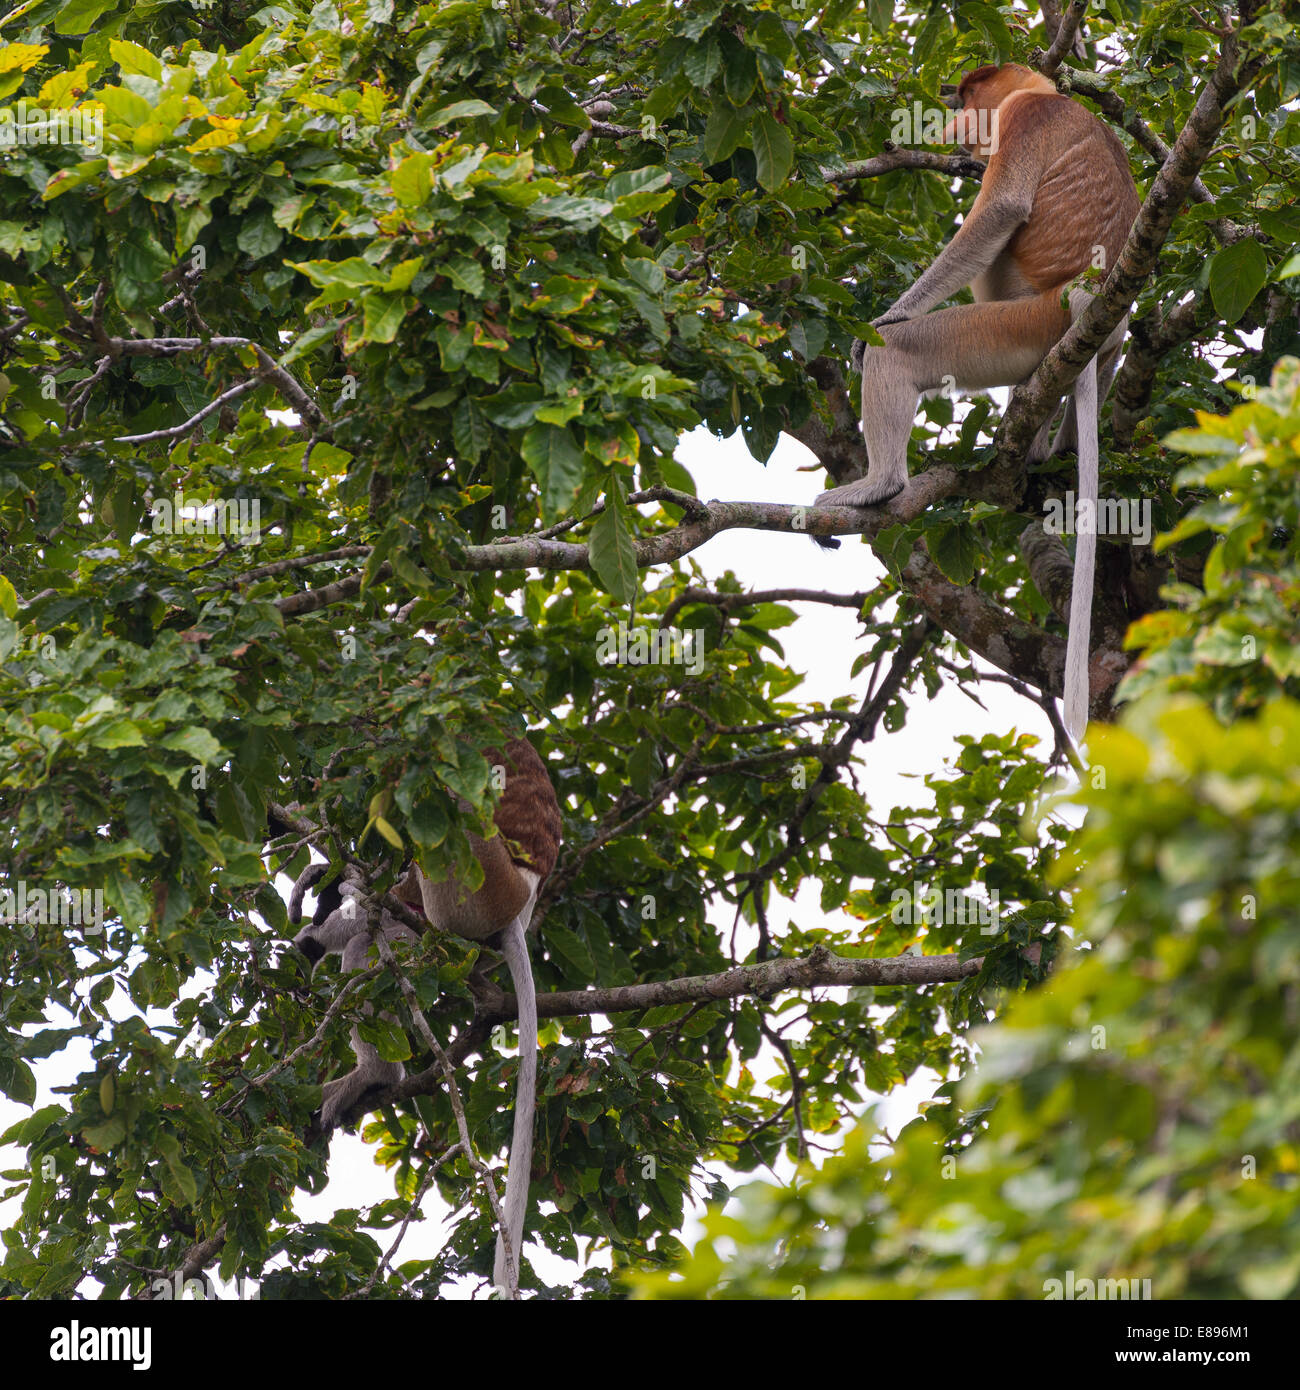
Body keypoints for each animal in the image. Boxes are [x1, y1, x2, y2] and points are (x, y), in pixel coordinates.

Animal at [817, 64, 1140, 739]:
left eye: (968, 96)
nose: (957, 124)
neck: (1047, 94)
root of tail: (1086, 302)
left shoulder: (1026, 120)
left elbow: (999, 212)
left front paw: (885, 319)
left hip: (1017, 326)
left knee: (906, 349)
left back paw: (879, 485)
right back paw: (1048, 445)